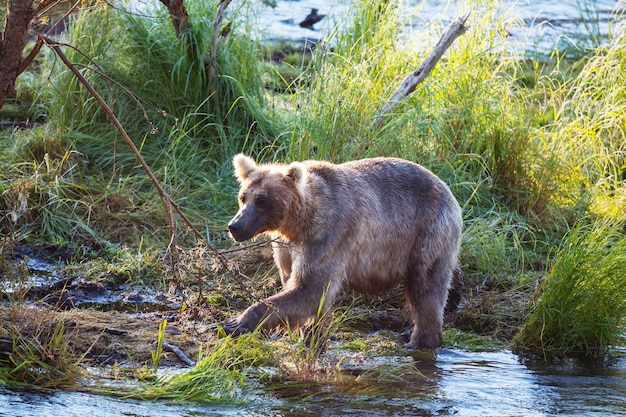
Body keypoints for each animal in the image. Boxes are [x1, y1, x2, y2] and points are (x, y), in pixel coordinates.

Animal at [222, 153, 460, 348]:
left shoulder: (328, 235)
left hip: (427, 232)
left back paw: (419, 341)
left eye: (262, 200)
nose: (235, 226)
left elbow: (311, 287)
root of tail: (449, 191)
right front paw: (309, 334)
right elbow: (294, 283)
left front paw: (234, 322)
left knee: (426, 287)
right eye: (243, 197)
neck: (297, 224)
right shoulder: (285, 248)